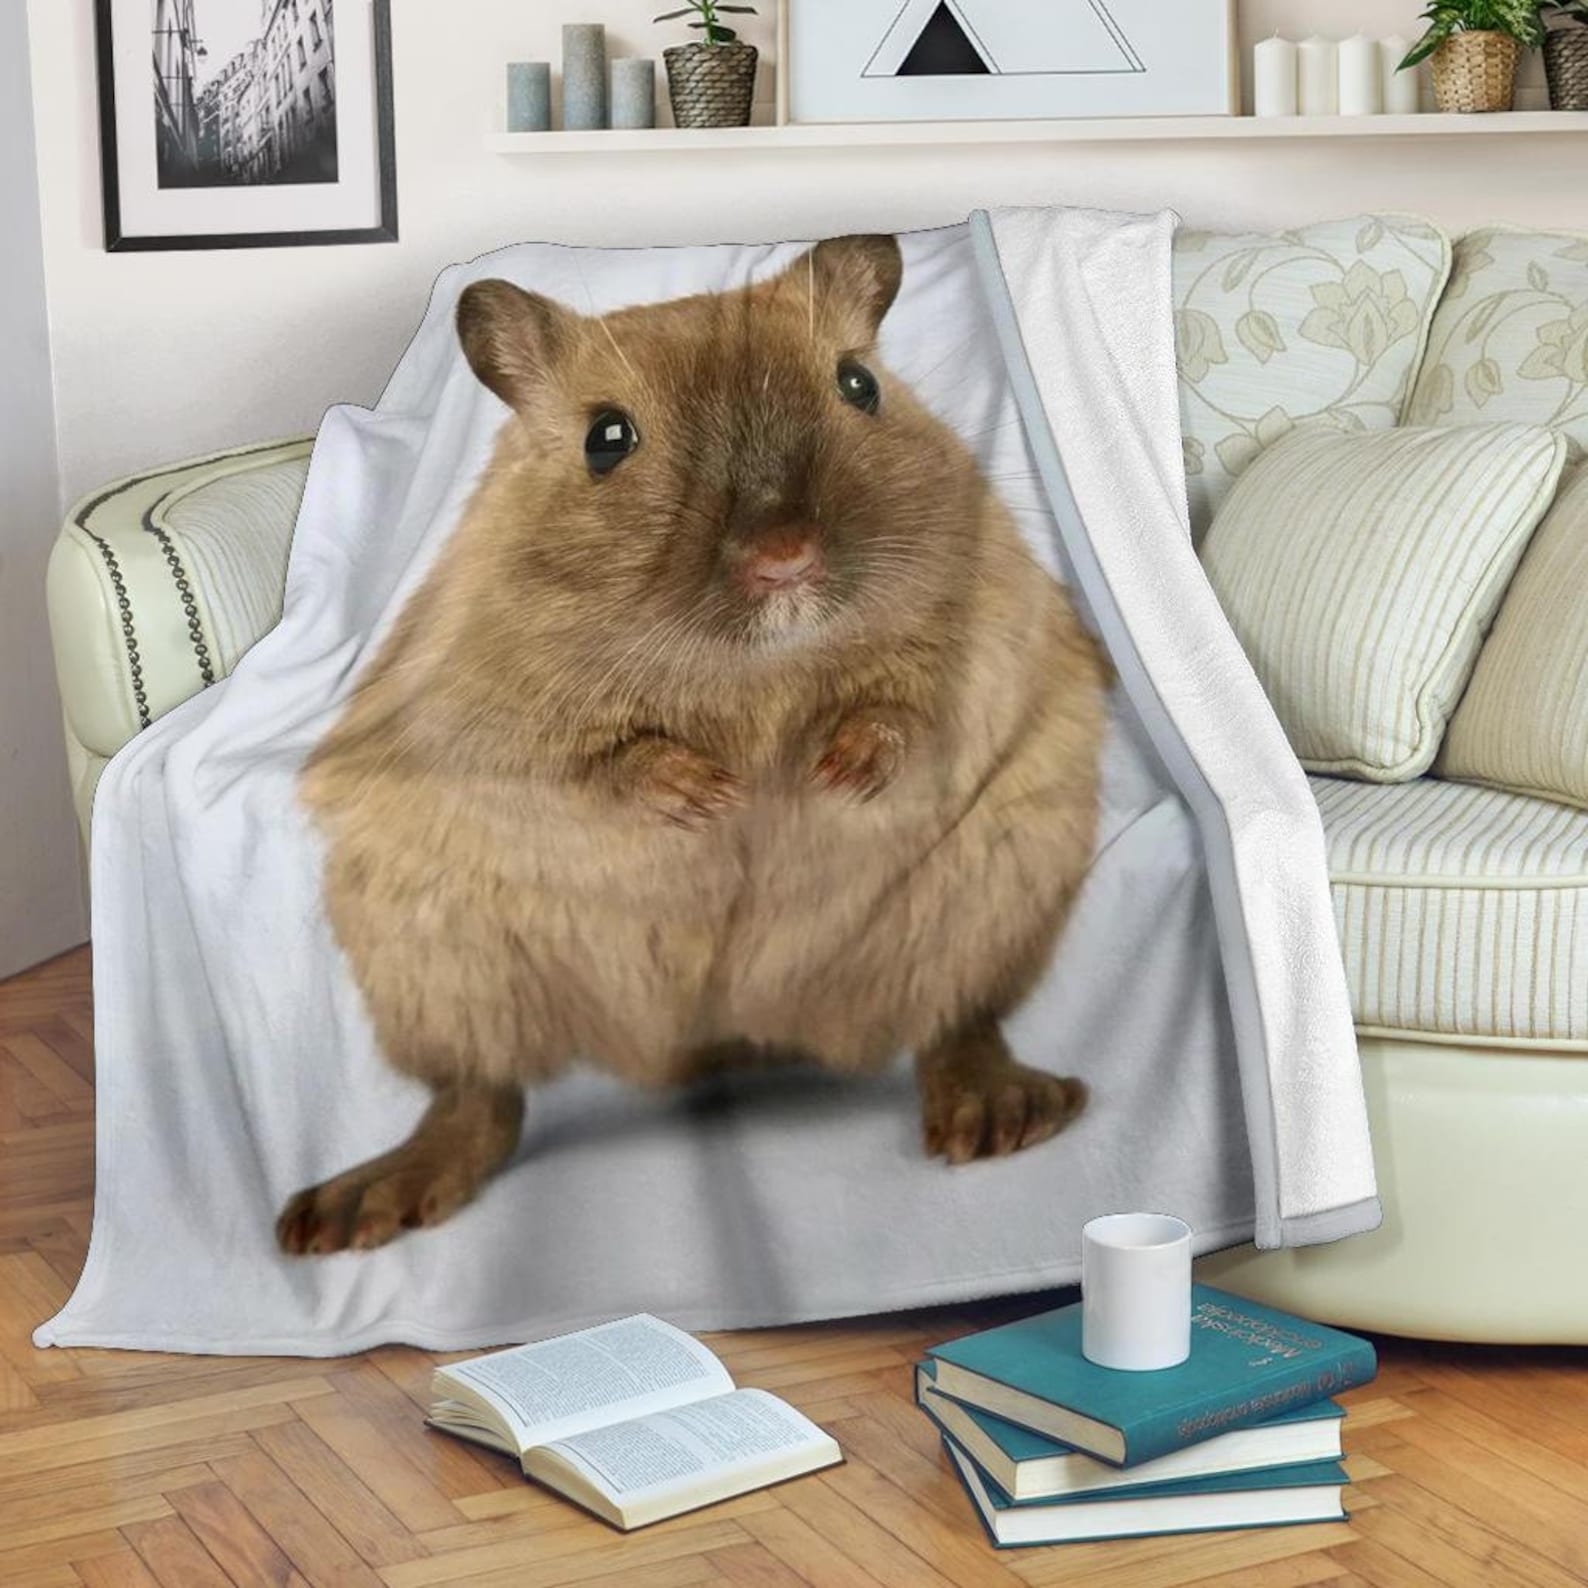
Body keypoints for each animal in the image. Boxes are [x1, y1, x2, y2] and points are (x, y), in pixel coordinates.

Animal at [278, 234, 1110, 1255]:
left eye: (859, 384)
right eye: (606, 439)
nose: (785, 559)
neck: (753, 664)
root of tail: (735, 1033)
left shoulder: (993, 630)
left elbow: (911, 712)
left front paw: (837, 769)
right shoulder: (474, 707)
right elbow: (587, 763)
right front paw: (708, 794)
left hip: (993, 885)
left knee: (958, 1019)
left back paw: (1000, 1114)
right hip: (434, 949)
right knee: (482, 1096)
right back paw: (352, 1209)